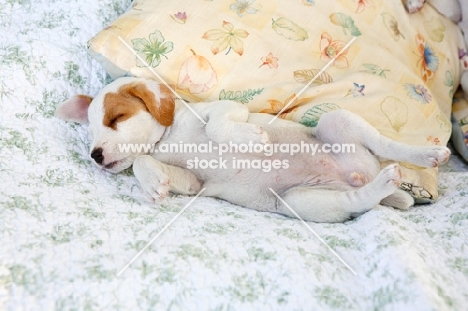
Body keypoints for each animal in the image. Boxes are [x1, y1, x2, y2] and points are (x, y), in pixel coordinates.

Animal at [54, 78, 450, 224]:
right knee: (358, 199)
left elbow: (219, 125)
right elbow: (144, 161)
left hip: (336, 121)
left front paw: (253, 140)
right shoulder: (193, 182)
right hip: (301, 201)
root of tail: (361, 174)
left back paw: (427, 157)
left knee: (386, 145)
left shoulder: (226, 110)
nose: (95, 155)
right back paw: (386, 186)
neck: (168, 137)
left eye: (116, 118)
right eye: (90, 133)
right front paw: (152, 181)